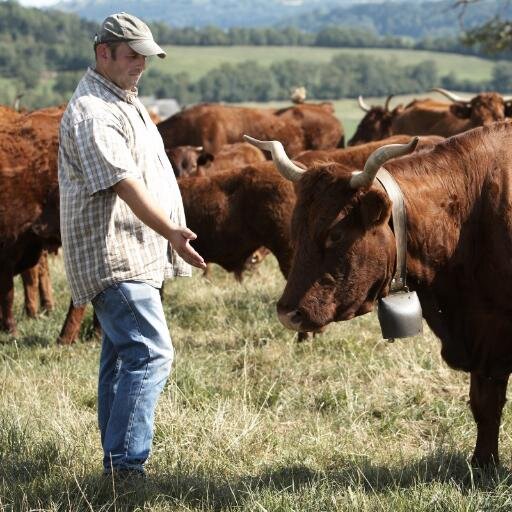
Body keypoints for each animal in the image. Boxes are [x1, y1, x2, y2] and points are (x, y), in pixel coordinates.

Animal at [248, 122, 512, 466]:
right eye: (296, 230)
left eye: (335, 233)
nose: (287, 313)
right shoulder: (485, 337)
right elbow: (485, 405)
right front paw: (483, 463)